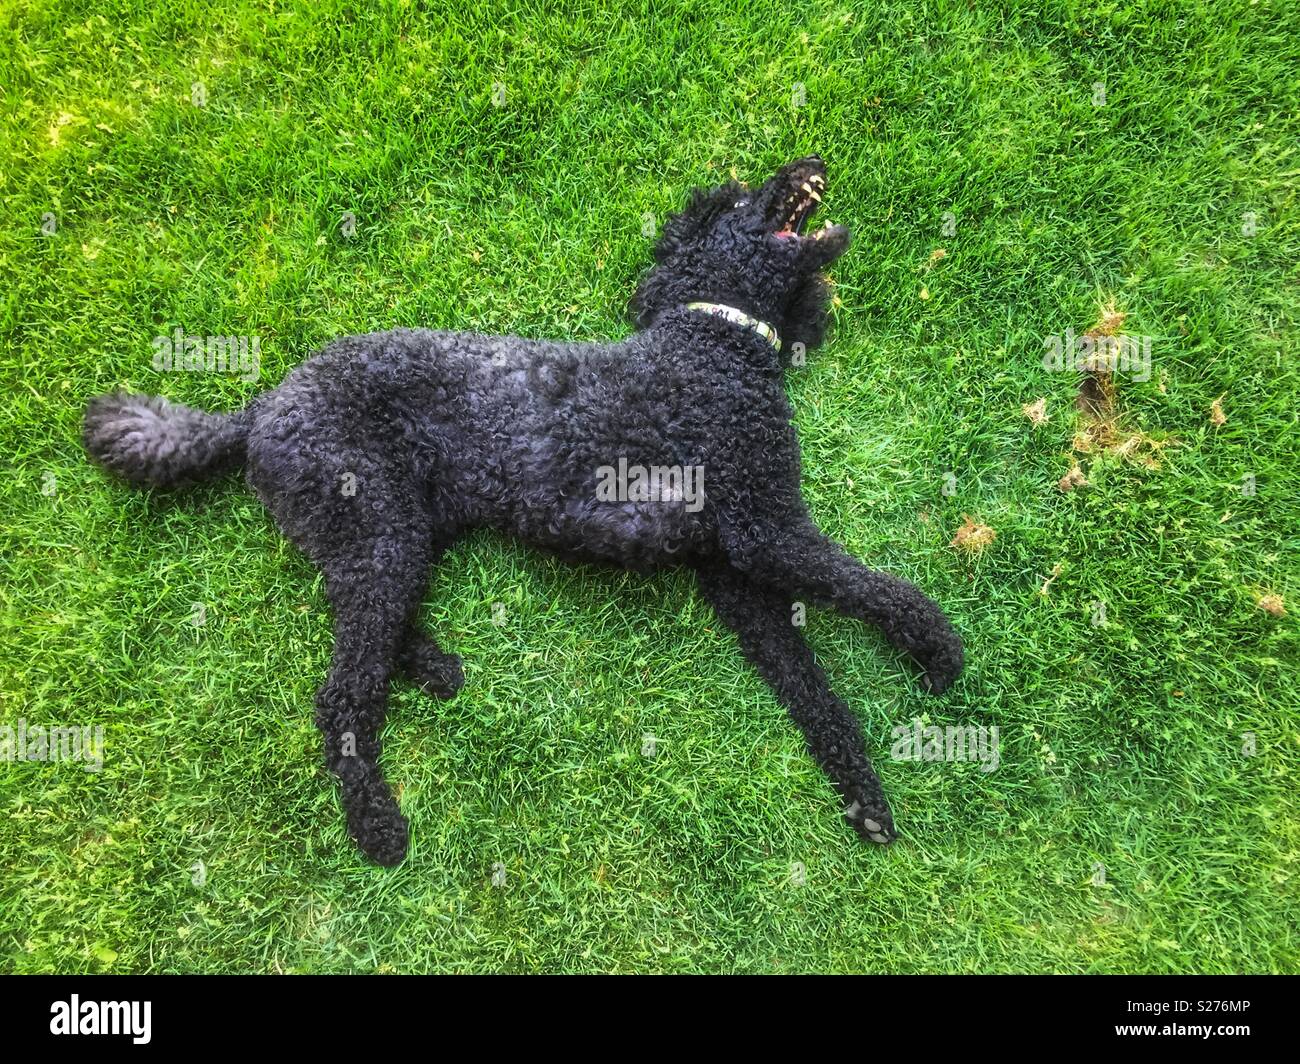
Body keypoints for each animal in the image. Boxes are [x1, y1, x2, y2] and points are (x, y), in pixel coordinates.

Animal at [78, 155, 956, 863]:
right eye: (742, 197)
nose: (808, 161)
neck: (713, 343)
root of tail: (258, 410)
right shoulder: (766, 531)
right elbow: (876, 587)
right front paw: (939, 653)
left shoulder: (736, 575)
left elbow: (812, 690)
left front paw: (865, 797)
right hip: (375, 525)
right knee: (343, 693)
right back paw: (375, 823)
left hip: (391, 531)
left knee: (371, 624)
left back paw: (431, 665)